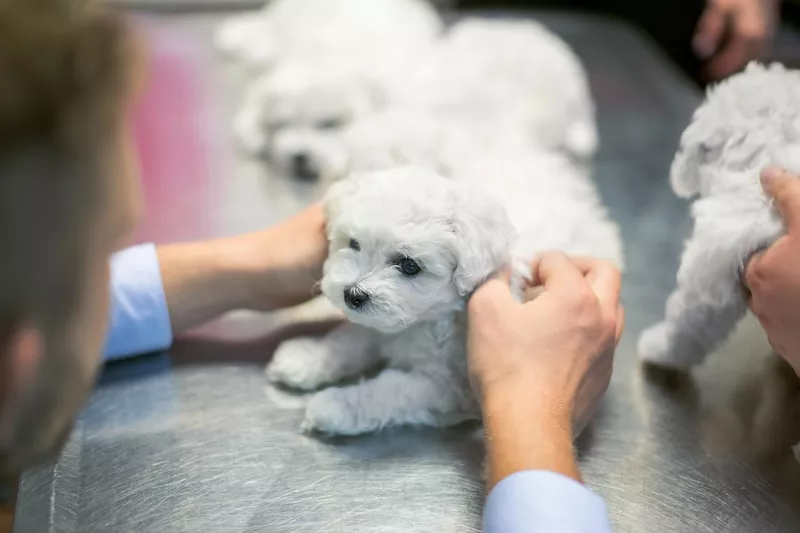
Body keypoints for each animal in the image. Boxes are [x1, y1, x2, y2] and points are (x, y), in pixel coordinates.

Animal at [266, 156, 620, 434]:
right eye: (353, 244)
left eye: (409, 265)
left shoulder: (445, 386)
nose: (353, 294)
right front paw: (308, 358)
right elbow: (348, 340)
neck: (424, 321)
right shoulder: (379, 328)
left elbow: (389, 391)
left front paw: (334, 405)